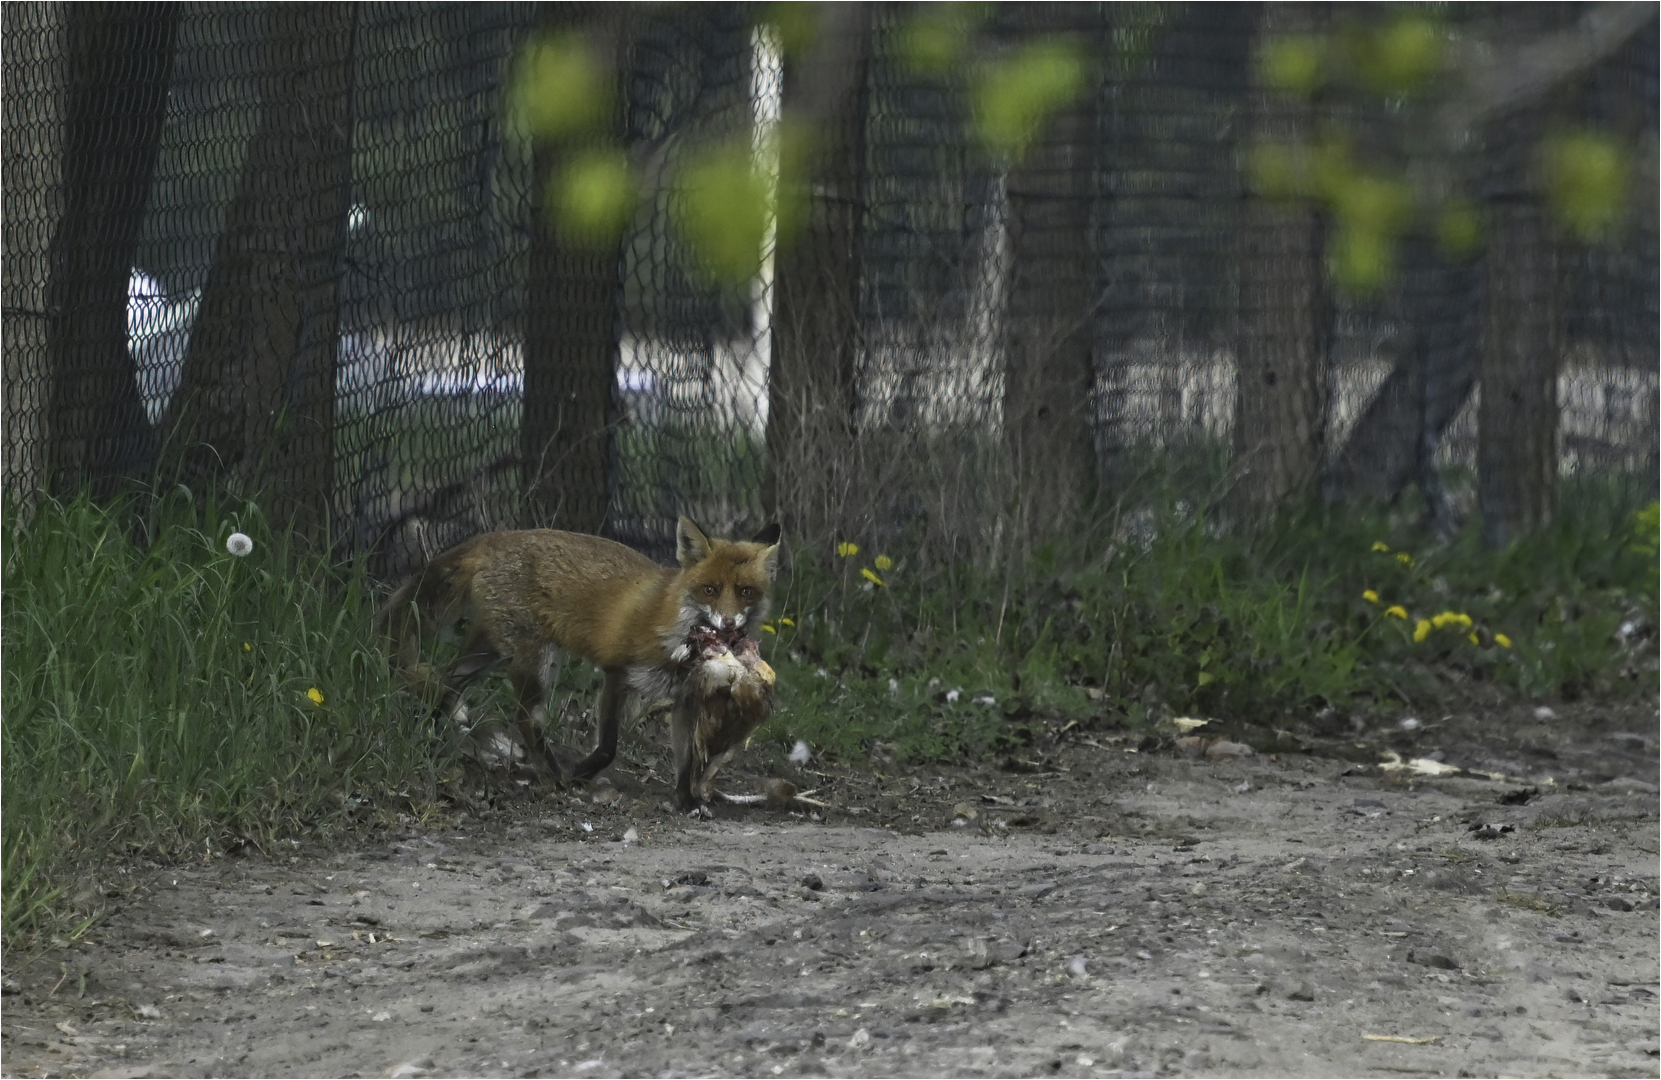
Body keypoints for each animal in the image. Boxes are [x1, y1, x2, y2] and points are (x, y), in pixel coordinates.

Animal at [380, 515, 780, 807]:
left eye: (745, 592)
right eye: (710, 590)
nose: (728, 624)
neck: (675, 629)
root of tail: (498, 537)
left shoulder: (685, 698)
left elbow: (686, 760)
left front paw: (686, 801)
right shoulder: (617, 673)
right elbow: (607, 748)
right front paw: (580, 773)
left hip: (492, 651)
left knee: (446, 680)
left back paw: (429, 732)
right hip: (534, 662)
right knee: (523, 718)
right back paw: (554, 777)